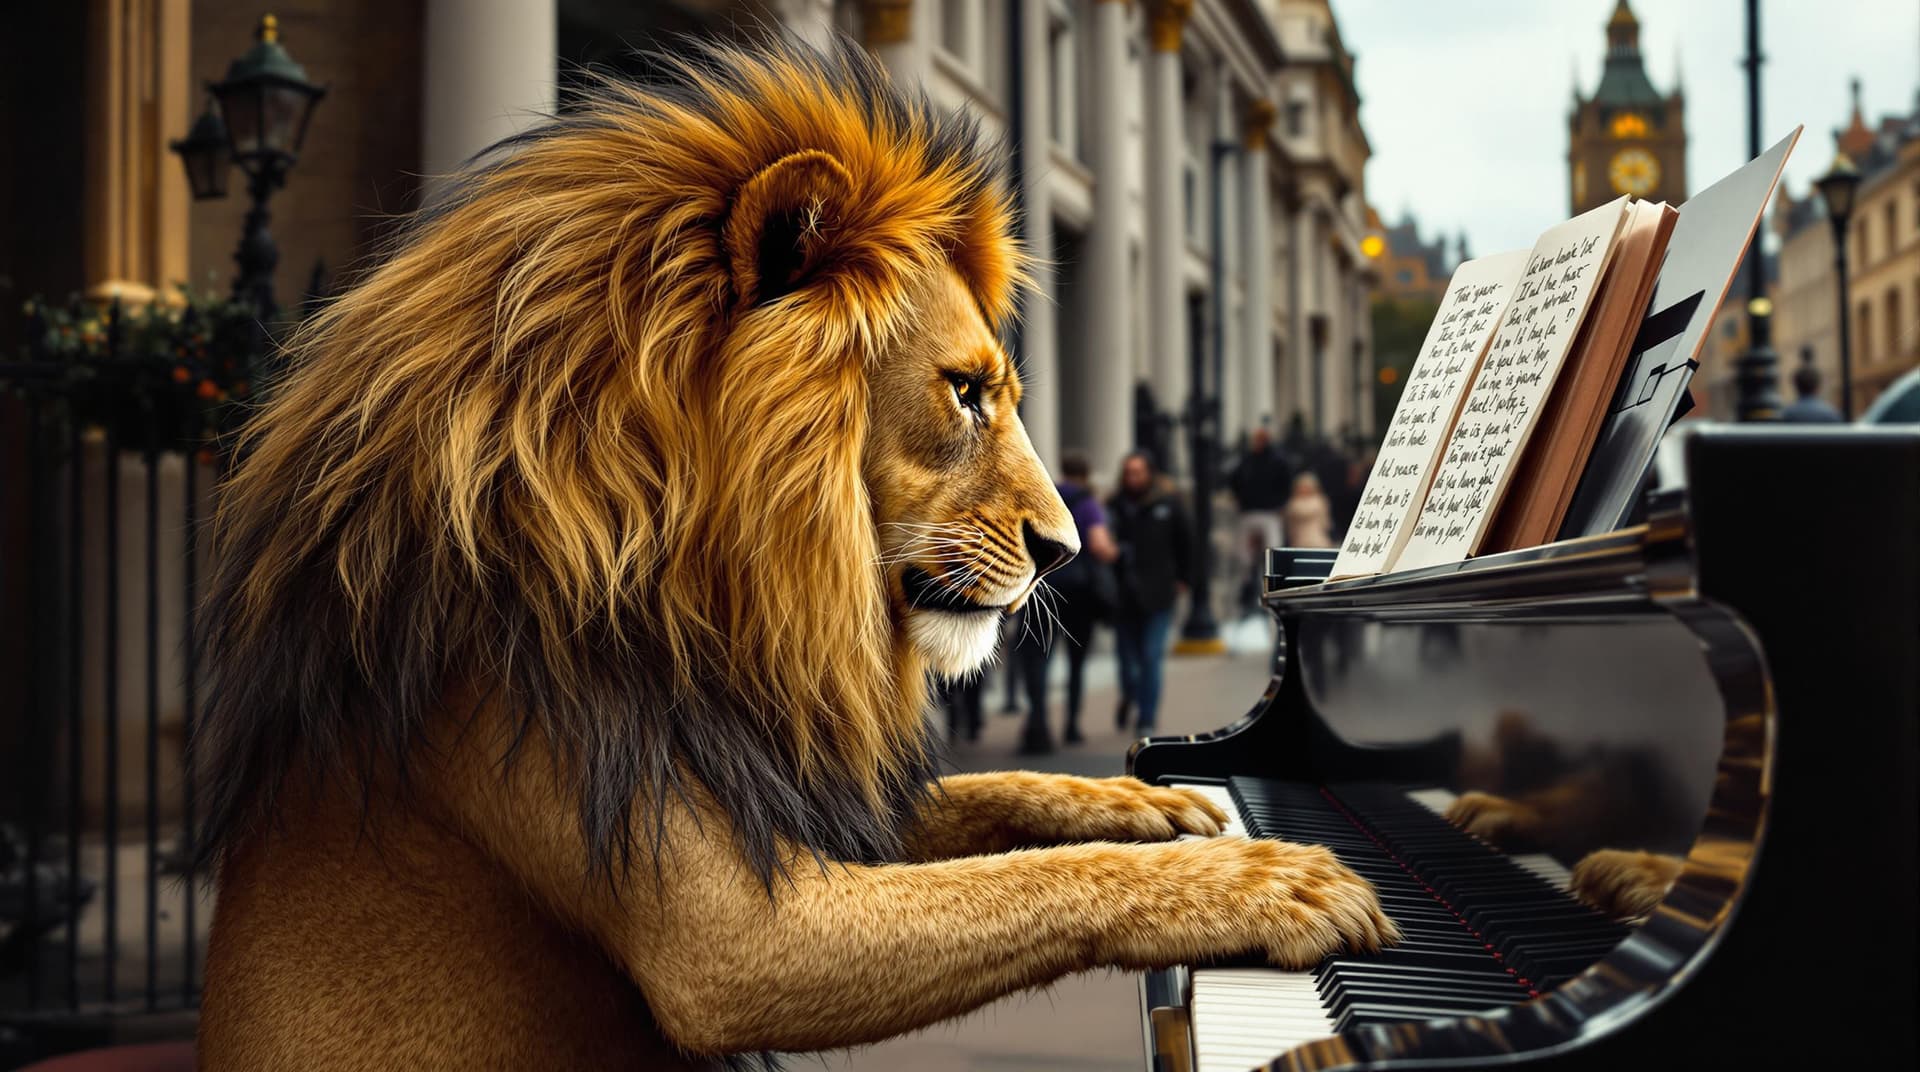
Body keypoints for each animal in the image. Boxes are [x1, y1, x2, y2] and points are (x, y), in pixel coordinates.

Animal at [190, 37, 1392, 1070]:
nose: (1063, 547)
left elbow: (1006, 800)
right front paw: (1265, 877)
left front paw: (1158, 808)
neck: (706, 577)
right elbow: (1034, 883)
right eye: (966, 390)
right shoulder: (734, 940)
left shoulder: (792, 778)